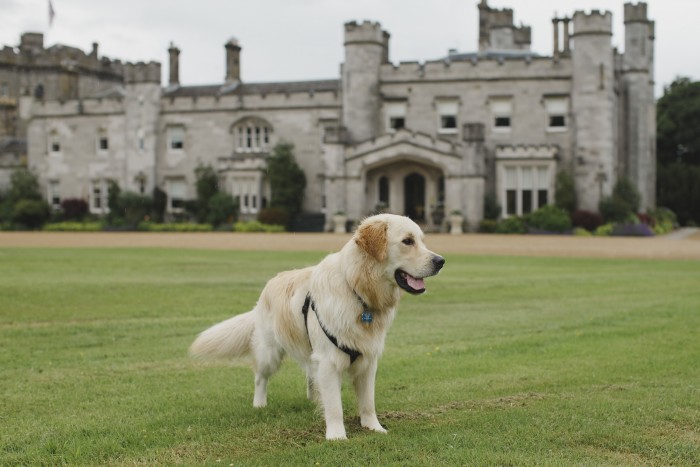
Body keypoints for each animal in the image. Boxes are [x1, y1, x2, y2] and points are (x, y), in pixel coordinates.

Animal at [189, 214, 446, 440]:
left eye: (421, 240)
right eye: (407, 241)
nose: (441, 261)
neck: (357, 290)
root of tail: (268, 286)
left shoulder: (368, 361)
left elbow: (368, 402)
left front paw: (374, 428)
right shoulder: (329, 361)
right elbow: (335, 406)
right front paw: (337, 436)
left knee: (310, 377)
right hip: (269, 353)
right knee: (260, 378)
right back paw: (259, 404)